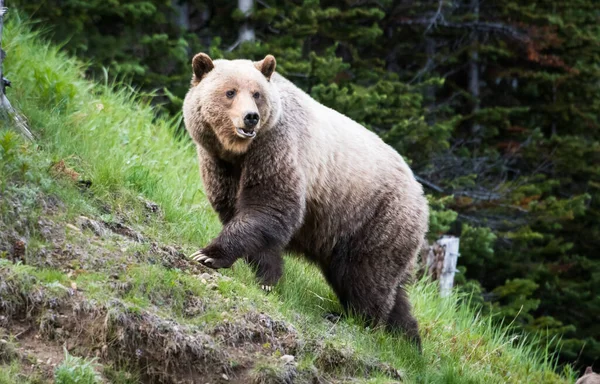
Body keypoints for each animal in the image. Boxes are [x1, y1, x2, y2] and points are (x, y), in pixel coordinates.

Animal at [182, 52, 426, 350]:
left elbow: (269, 208)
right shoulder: (220, 165)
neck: (238, 152)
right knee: (393, 289)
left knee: (366, 275)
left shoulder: (275, 149)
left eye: (256, 94)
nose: (251, 118)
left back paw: (356, 319)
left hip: (377, 217)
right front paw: (267, 279)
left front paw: (208, 254)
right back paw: (407, 340)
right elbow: (249, 219)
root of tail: (420, 193)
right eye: (230, 92)